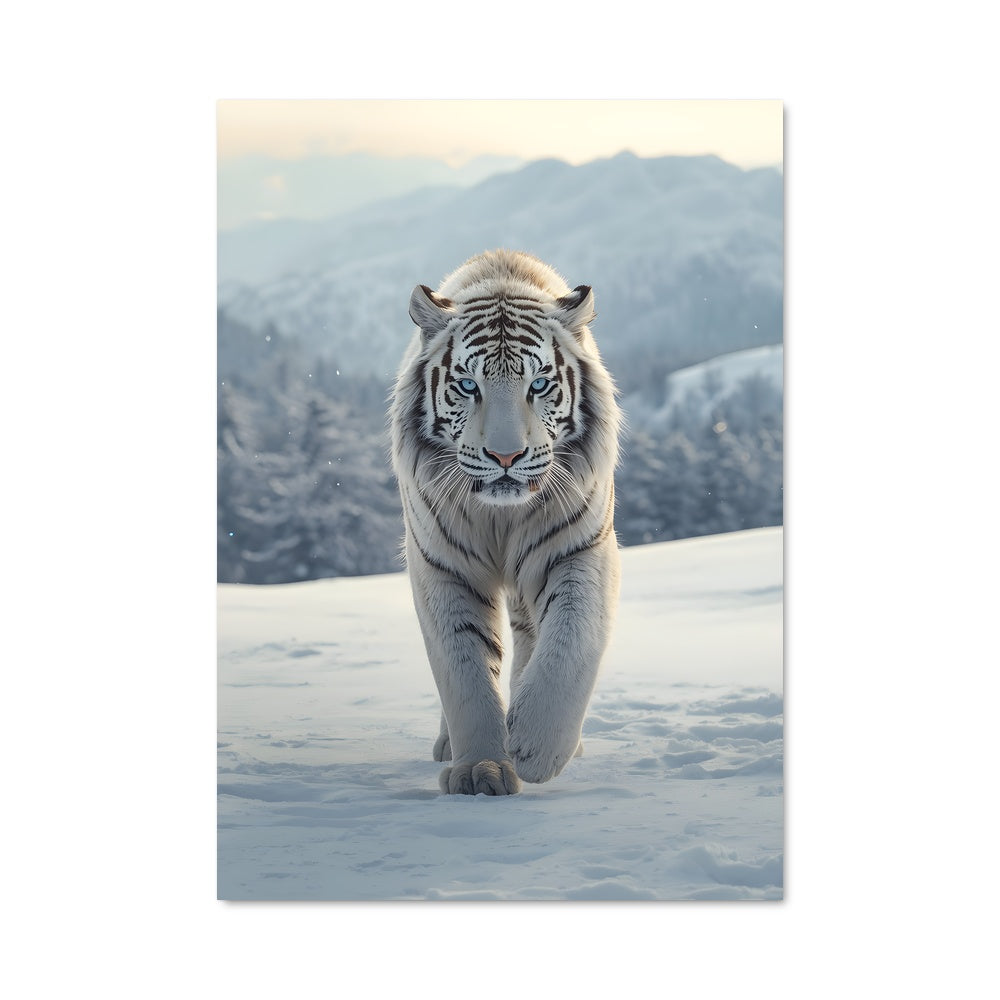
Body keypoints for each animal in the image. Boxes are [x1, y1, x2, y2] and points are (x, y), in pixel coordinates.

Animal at [390, 249, 622, 795]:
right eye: (467, 385)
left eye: (538, 384)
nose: (505, 456)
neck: (502, 518)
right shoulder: (443, 567)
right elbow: (464, 670)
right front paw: (480, 770)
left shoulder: (579, 551)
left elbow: (569, 643)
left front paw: (535, 749)